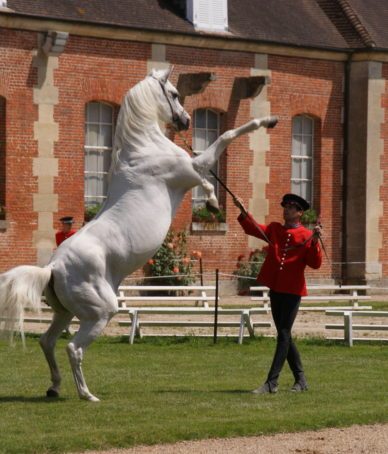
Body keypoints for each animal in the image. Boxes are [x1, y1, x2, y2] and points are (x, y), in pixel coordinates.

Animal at [0, 66, 278, 400]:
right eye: (173, 93)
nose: (185, 121)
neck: (144, 149)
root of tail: (53, 267)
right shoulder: (192, 170)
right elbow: (222, 142)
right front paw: (214, 199)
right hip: (99, 312)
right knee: (73, 348)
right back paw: (87, 395)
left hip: (66, 313)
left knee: (48, 341)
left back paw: (55, 387)